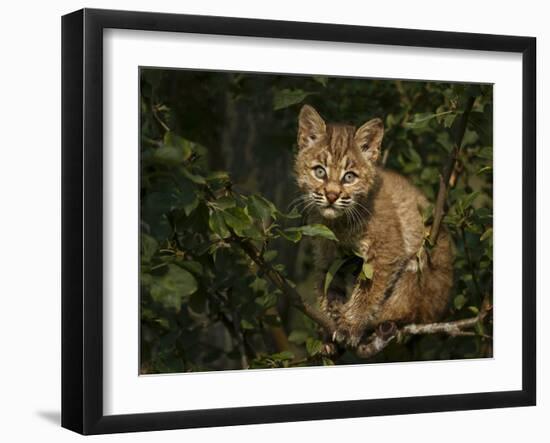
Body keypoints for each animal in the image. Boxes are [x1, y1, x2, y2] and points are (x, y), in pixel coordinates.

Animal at [296, 106, 454, 348]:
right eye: (320, 172)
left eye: (349, 177)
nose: (331, 196)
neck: (337, 222)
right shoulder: (327, 252)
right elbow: (328, 286)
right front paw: (331, 321)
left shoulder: (387, 249)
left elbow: (368, 291)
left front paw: (350, 324)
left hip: (424, 256)